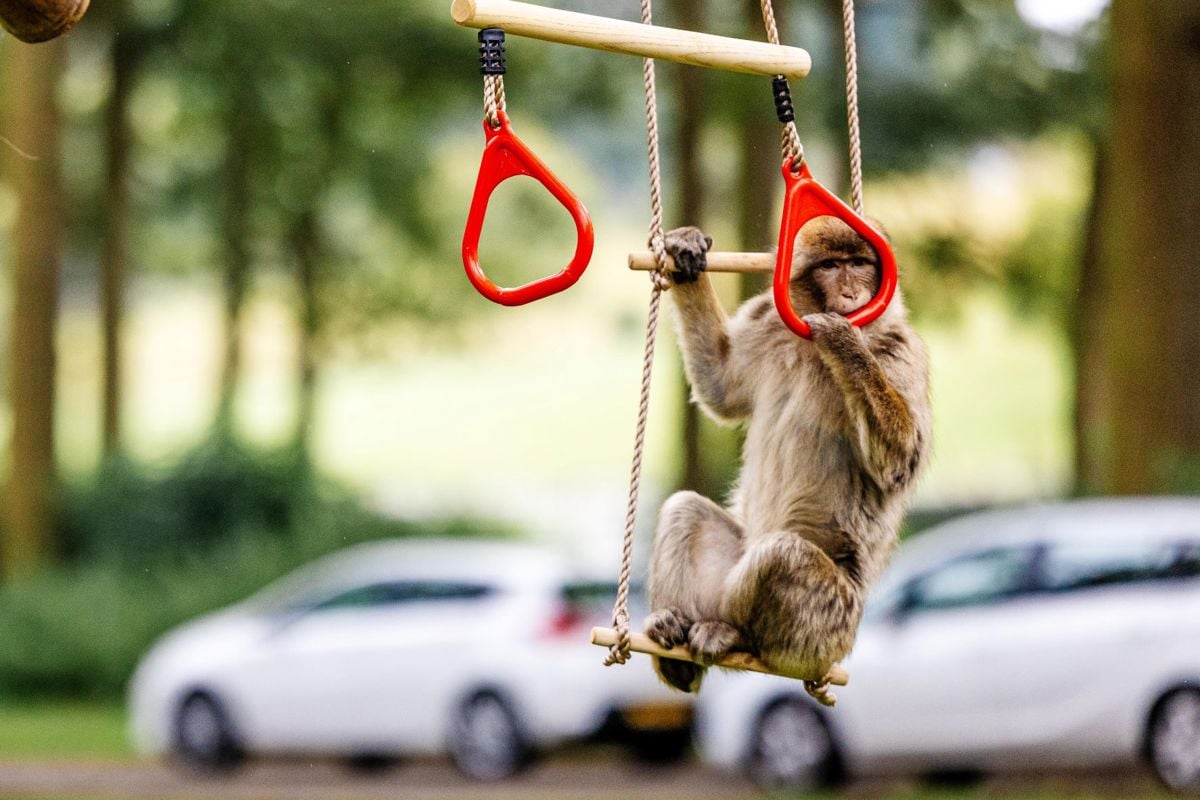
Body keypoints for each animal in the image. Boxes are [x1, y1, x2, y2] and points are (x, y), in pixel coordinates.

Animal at [643, 217, 931, 695]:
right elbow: (720, 386)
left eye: (859, 264)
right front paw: (686, 254)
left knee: (782, 555)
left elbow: (901, 464)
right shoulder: (768, 320)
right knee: (685, 510)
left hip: (828, 627)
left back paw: (737, 636)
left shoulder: (900, 352)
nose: (851, 293)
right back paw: (675, 637)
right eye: (832, 266)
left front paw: (845, 344)